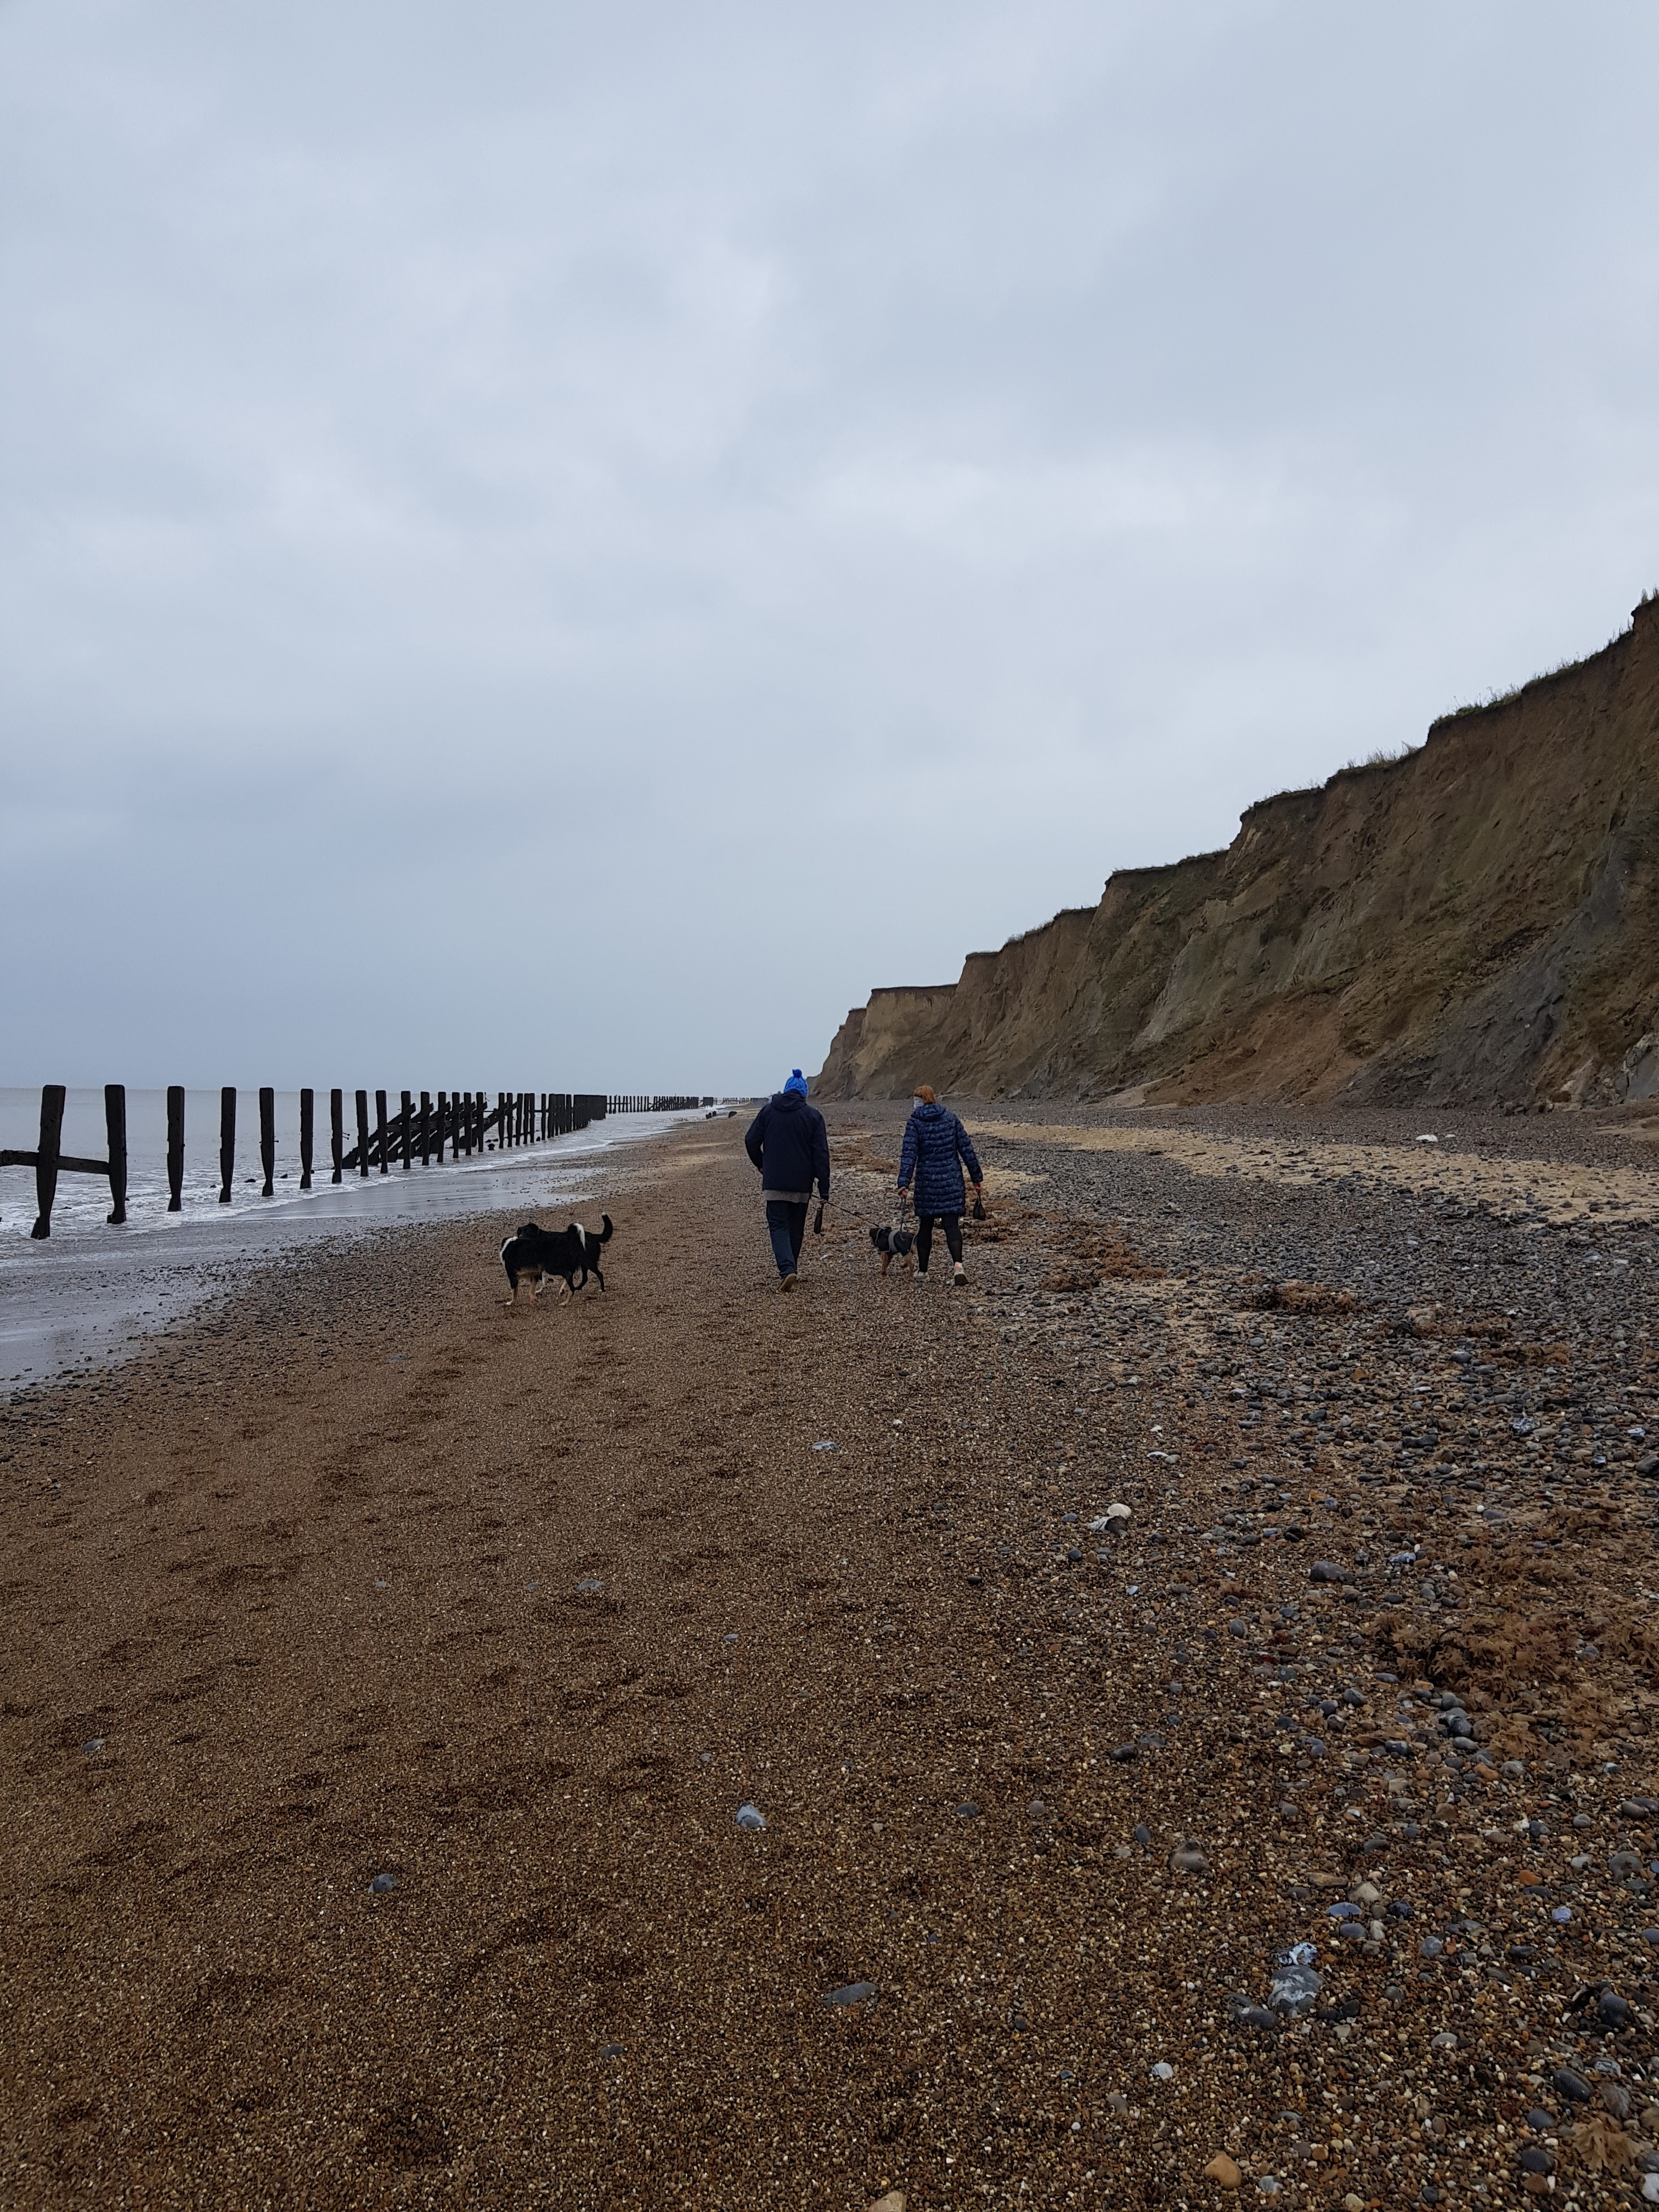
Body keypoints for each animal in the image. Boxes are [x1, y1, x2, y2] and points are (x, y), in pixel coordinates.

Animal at [500, 1215, 613, 1302]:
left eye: (527, 1232)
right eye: (520, 1233)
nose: (521, 1237)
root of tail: (594, 1236)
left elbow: (544, 1278)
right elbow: (544, 1279)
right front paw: (541, 1289)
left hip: (588, 1262)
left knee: (599, 1274)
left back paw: (602, 1289)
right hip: (582, 1264)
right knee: (584, 1278)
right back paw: (576, 1288)